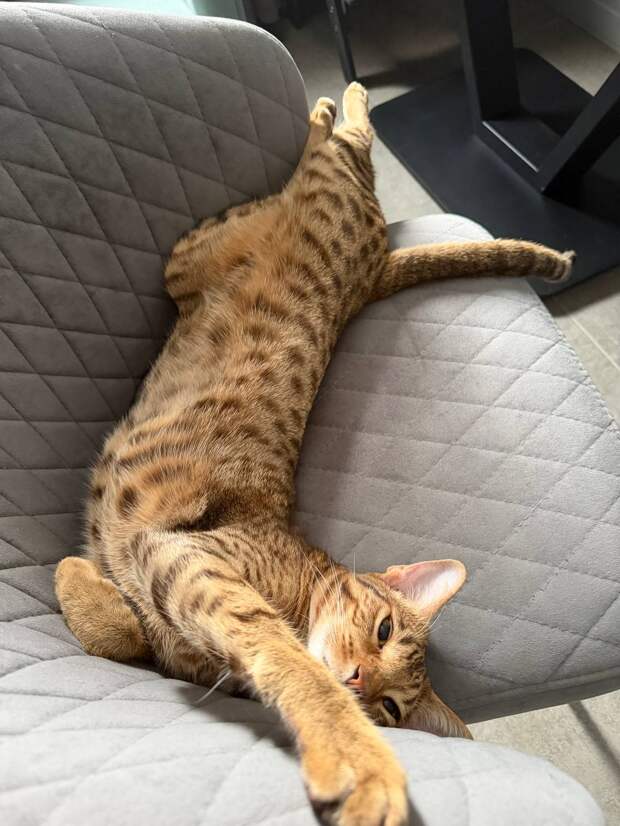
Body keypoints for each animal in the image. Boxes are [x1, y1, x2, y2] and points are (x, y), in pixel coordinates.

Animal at [55, 83, 573, 826]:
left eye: (391, 707)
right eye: (383, 630)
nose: (357, 679)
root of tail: (374, 273)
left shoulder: (167, 593)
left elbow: (122, 631)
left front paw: (84, 582)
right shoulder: (193, 561)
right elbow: (288, 662)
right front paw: (355, 754)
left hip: (194, 256)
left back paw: (326, 114)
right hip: (261, 221)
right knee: (350, 148)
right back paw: (336, 108)